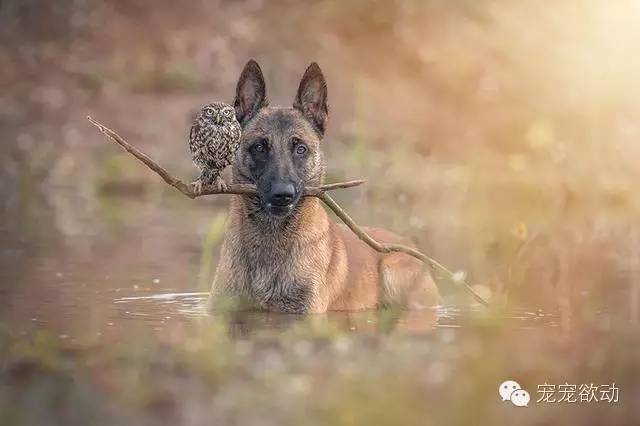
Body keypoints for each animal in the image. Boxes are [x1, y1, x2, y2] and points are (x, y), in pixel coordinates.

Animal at [210, 60, 440, 312]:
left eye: (300, 149)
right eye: (259, 147)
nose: (283, 195)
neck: (269, 239)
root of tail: (407, 242)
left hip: (392, 270)